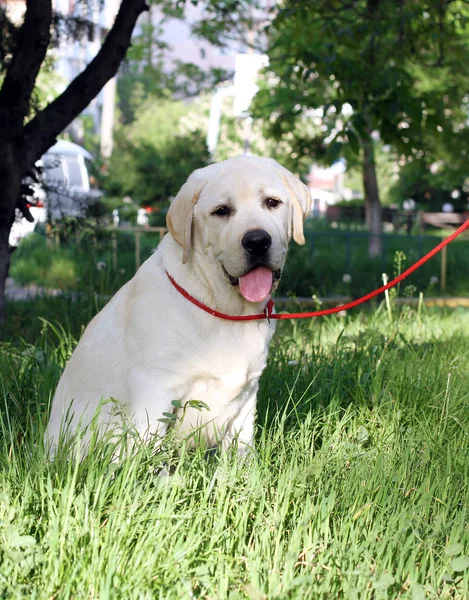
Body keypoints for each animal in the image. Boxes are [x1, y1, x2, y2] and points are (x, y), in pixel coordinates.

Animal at [44, 157, 310, 452]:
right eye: (221, 211)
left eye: (272, 202)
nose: (257, 241)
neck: (226, 311)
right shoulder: (155, 391)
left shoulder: (247, 395)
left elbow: (242, 449)